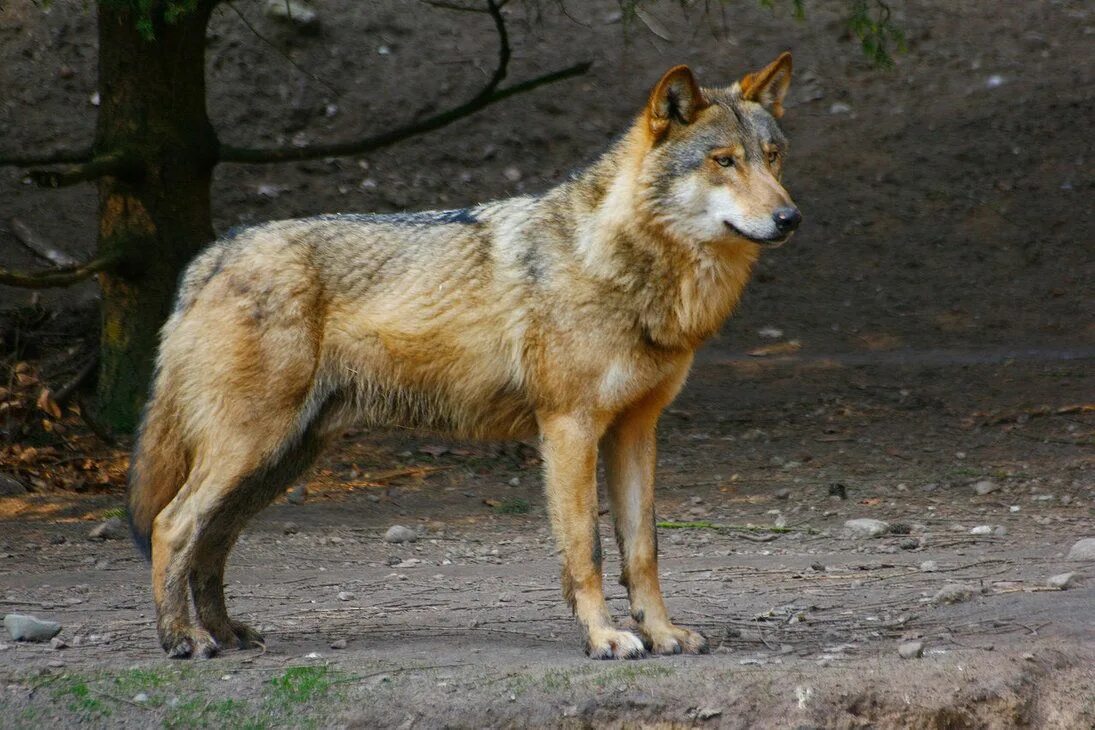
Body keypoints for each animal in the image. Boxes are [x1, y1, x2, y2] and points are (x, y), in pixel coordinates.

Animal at [128, 54, 801, 661]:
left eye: (771, 157)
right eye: (724, 161)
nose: (790, 217)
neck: (623, 266)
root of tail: (211, 255)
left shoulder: (636, 430)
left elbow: (643, 551)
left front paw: (661, 633)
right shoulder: (569, 429)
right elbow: (586, 552)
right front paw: (605, 638)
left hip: (278, 461)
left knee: (211, 543)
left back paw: (226, 633)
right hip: (251, 448)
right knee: (171, 525)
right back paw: (183, 639)